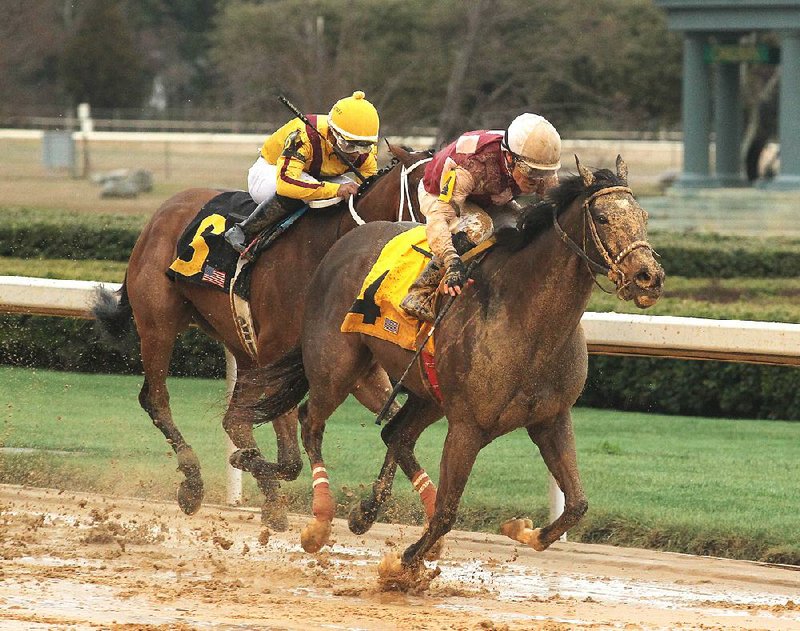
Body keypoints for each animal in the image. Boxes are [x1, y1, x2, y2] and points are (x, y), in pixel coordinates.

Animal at [93, 143, 432, 528]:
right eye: (430, 191)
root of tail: (160, 213)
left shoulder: (358, 370)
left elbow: (395, 426)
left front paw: (368, 509)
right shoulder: (278, 353)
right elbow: (290, 458)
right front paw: (248, 464)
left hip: (239, 343)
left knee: (233, 419)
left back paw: (267, 497)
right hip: (158, 325)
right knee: (157, 399)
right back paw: (193, 483)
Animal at [253, 156, 664, 580]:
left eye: (644, 216)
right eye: (601, 216)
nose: (649, 276)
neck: (525, 317)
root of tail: (344, 243)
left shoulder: (552, 417)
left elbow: (577, 504)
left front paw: (522, 529)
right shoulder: (467, 425)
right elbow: (448, 512)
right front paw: (404, 563)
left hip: (427, 390)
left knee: (396, 434)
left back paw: (366, 512)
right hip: (335, 364)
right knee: (311, 422)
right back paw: (319, 522)